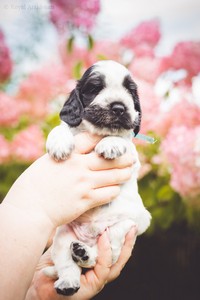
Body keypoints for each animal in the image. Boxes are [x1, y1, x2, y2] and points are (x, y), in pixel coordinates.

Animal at [44, 60, 151, 296]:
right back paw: (69, 280)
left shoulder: (132, 157)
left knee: (103, 255)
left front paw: (111, 142)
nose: (119, 107)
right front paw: (59, 142)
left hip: (125, 227)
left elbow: (123, 138)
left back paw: (86, 254)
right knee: (67, 265)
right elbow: (61, 127)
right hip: (62, 238)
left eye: (130, 91)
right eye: (95, 87)